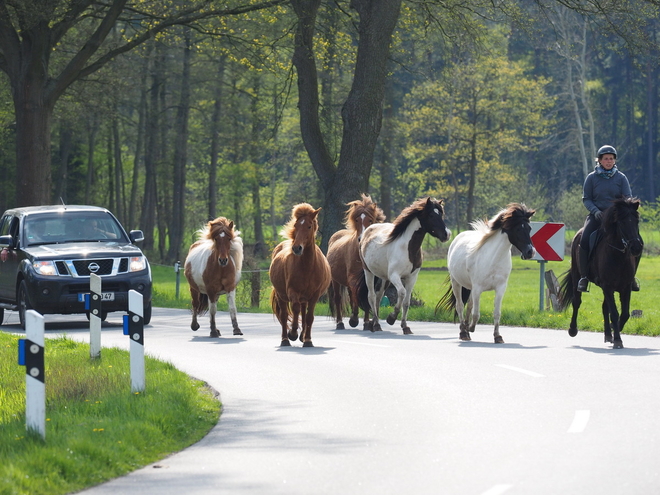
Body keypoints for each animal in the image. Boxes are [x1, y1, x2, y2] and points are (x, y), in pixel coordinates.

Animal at [326, 196, 386, 332]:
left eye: (371, 220)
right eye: (357, 219)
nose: (361, 239)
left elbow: (367, 297)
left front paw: (367, 323)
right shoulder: (353, 278)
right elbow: (356, 296)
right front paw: (354, 319)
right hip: (335, 281)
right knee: (338, 299)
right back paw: (340, 323)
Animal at [358, 197, 452, 334]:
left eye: (441, 214)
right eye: (431, 215)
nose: (447, 234)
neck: (407, 248)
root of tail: (366, 232)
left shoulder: (412, 278)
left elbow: (406, 302)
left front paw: (405, 326)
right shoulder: (395, 276)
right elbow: (401, 293)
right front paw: (391, 318)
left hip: (384, 278)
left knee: (379, 296)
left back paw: (375, 323)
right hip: (368, 272)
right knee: (371, 296)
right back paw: (376, 325)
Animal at [438, 203, 536, 342]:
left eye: (529, 228)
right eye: (517, 229)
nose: (530, 252)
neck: (493, 259)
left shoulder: (500, 289)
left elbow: (496, 313)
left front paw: (498, 336)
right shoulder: (478, 289)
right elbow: (476, 313)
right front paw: (471, 328)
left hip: (470, 287)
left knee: (469, 306)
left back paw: (466, 331)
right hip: (456, 282)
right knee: (460, 306)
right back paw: (463, 332)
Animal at [560, 198, 640, 348]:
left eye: (636, 221)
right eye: (622, 223)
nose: (636, 247)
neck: (617, 255)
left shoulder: (625, 287)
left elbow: (624, 314)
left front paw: (615, 331)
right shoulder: (607, 286)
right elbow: (614, 313)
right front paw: (618, 340)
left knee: (604, 307)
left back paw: (608, 334)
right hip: (577, 275)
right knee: (576, 301)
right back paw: (573, 329)